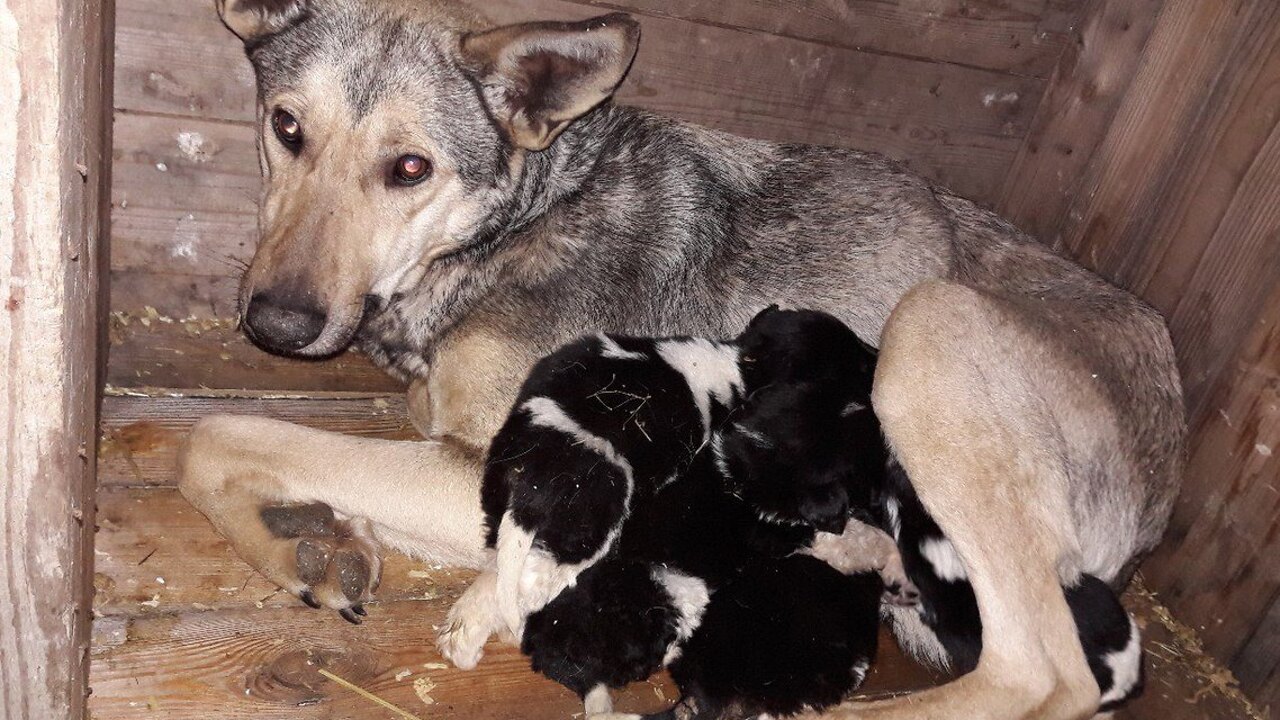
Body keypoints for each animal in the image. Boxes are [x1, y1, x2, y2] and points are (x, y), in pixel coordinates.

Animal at [175, 2, 1182, 712]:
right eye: (287, 127)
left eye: (410, 169)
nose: (276, 323)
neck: (521, 220)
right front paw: (321, 539)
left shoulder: (508, 474)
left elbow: (221, 436)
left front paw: (279, 538)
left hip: (928, 328)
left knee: (1044, 676)